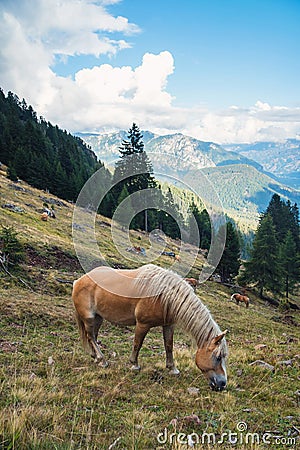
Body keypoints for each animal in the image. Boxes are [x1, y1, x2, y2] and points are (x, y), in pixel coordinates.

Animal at [72, 264, 227, 390]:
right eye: (218, 357)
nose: (222, 384)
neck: (164, 295)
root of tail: (79, 281)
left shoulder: (168, 325)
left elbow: (169, 346)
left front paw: (172, 369)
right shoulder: (142, 324)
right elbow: (137, 344)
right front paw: (134, 365)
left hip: (98, 318)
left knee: (93, 335)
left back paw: (95, 357)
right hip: (89, 318)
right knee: (91, 336)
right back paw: (102, 360)